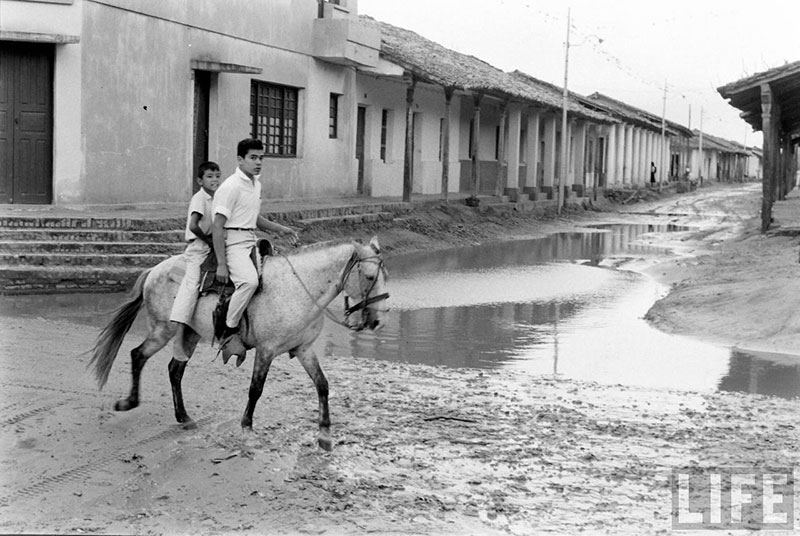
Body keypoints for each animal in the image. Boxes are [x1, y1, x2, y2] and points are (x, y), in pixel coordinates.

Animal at [87, 237, 388, 450]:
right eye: (370, 277)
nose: (376, 320)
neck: (297, 288)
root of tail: (153, 270)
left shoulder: (304, 349)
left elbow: (322, 385)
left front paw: (325, 435)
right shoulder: (266, 351)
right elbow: (256, 389)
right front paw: (246, 428)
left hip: (190, 334)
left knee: (175, 369)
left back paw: (184, 417)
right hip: (164, 330)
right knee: (138, 355)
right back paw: (129, 402)